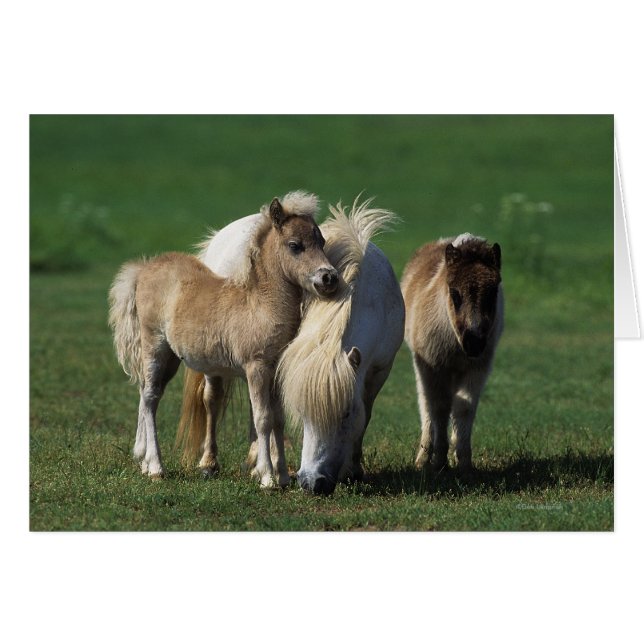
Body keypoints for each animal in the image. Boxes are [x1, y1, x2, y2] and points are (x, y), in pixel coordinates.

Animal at [108, 194, 338, 488]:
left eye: (321, 241)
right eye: (295, 245)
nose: (329, 277)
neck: (260, 305)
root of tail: (144, 268)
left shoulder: (275, 371)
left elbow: (278, 419)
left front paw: (284, 477)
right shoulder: (256, 368)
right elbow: (262, 419)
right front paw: (267, 478)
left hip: (171, 359)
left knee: (149, 394)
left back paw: (146, 463)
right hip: (154, 346)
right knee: (149, 398)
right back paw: (157, 468)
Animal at [179, 194, 405, 494]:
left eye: (346, 414)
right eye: (304, 414)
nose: (313, 482)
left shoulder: (379, 370)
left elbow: (364, 415)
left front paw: (353, 469)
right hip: (214, 362)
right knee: (212, 400)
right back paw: (210, 464)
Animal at [401, 233, 504, 474]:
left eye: (493, 293)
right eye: (455, 294)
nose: (474, 342)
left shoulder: (478, 368)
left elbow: (464, 407)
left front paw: (464, 462)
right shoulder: (433, 366)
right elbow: (439, 407)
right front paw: (439, 461)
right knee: (426, 405)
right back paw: (423, 458)